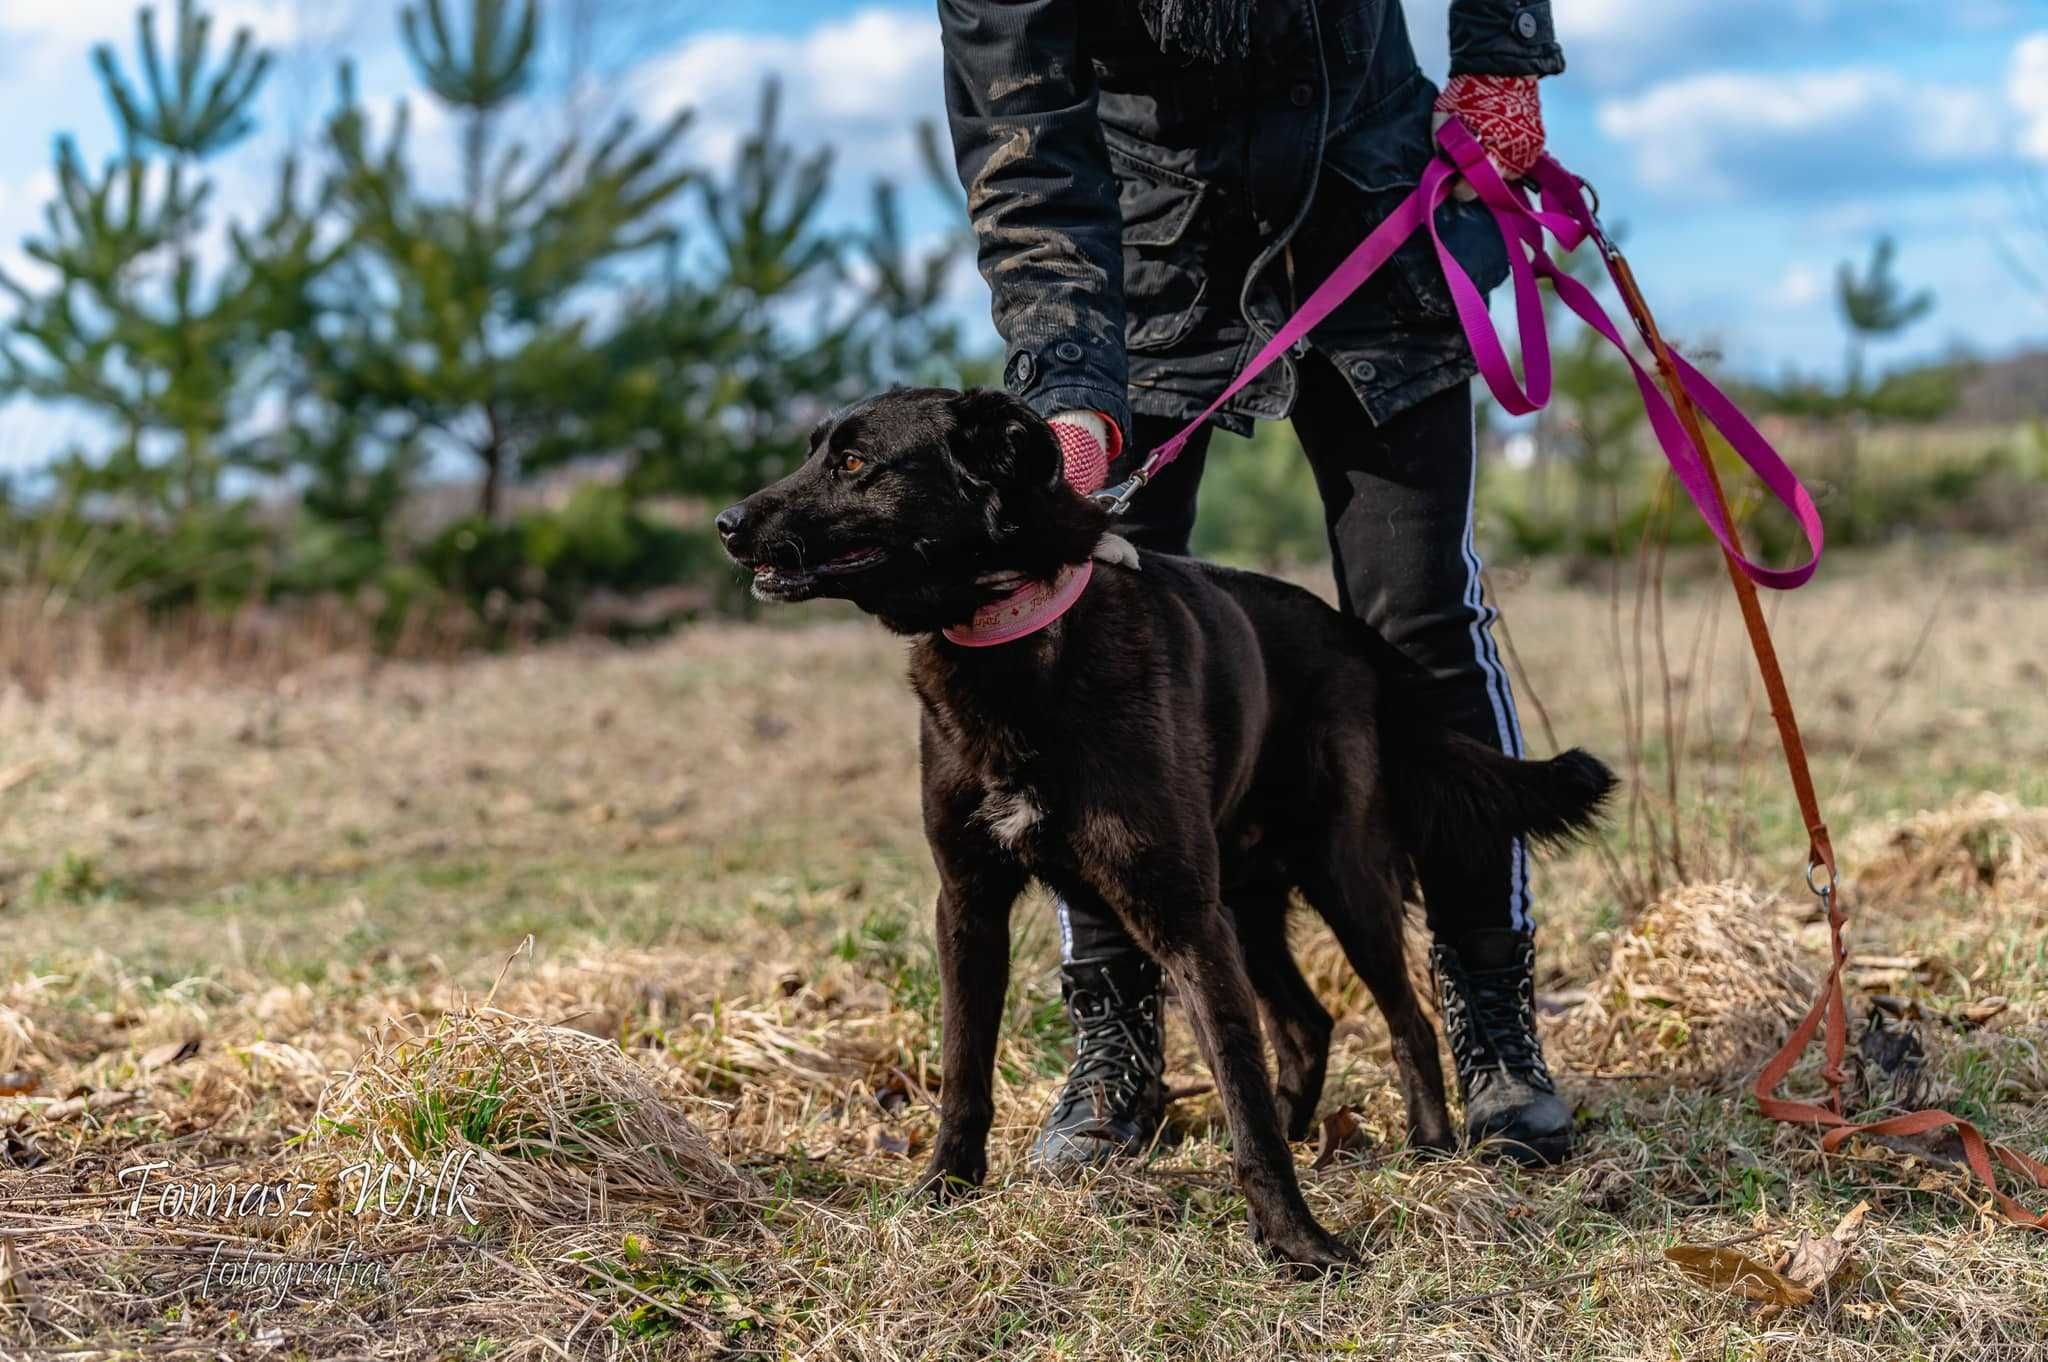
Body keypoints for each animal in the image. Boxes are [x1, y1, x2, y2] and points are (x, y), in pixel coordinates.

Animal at [724, 387, 1613, 1269]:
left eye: (852, 463)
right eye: (814, 451)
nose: (727, 523)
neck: (1015, 636)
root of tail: (1350, 636)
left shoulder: (1182, 915)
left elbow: (1239, 1081)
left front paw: (1295, 1239)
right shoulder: (969, 904)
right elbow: (964, 1067)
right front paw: (945, 1186)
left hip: (1341, 879)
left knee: (1408, 1019)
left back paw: (1431, 1144)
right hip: (1244, 908)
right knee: (1305, 1024)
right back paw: (1303, 1128)